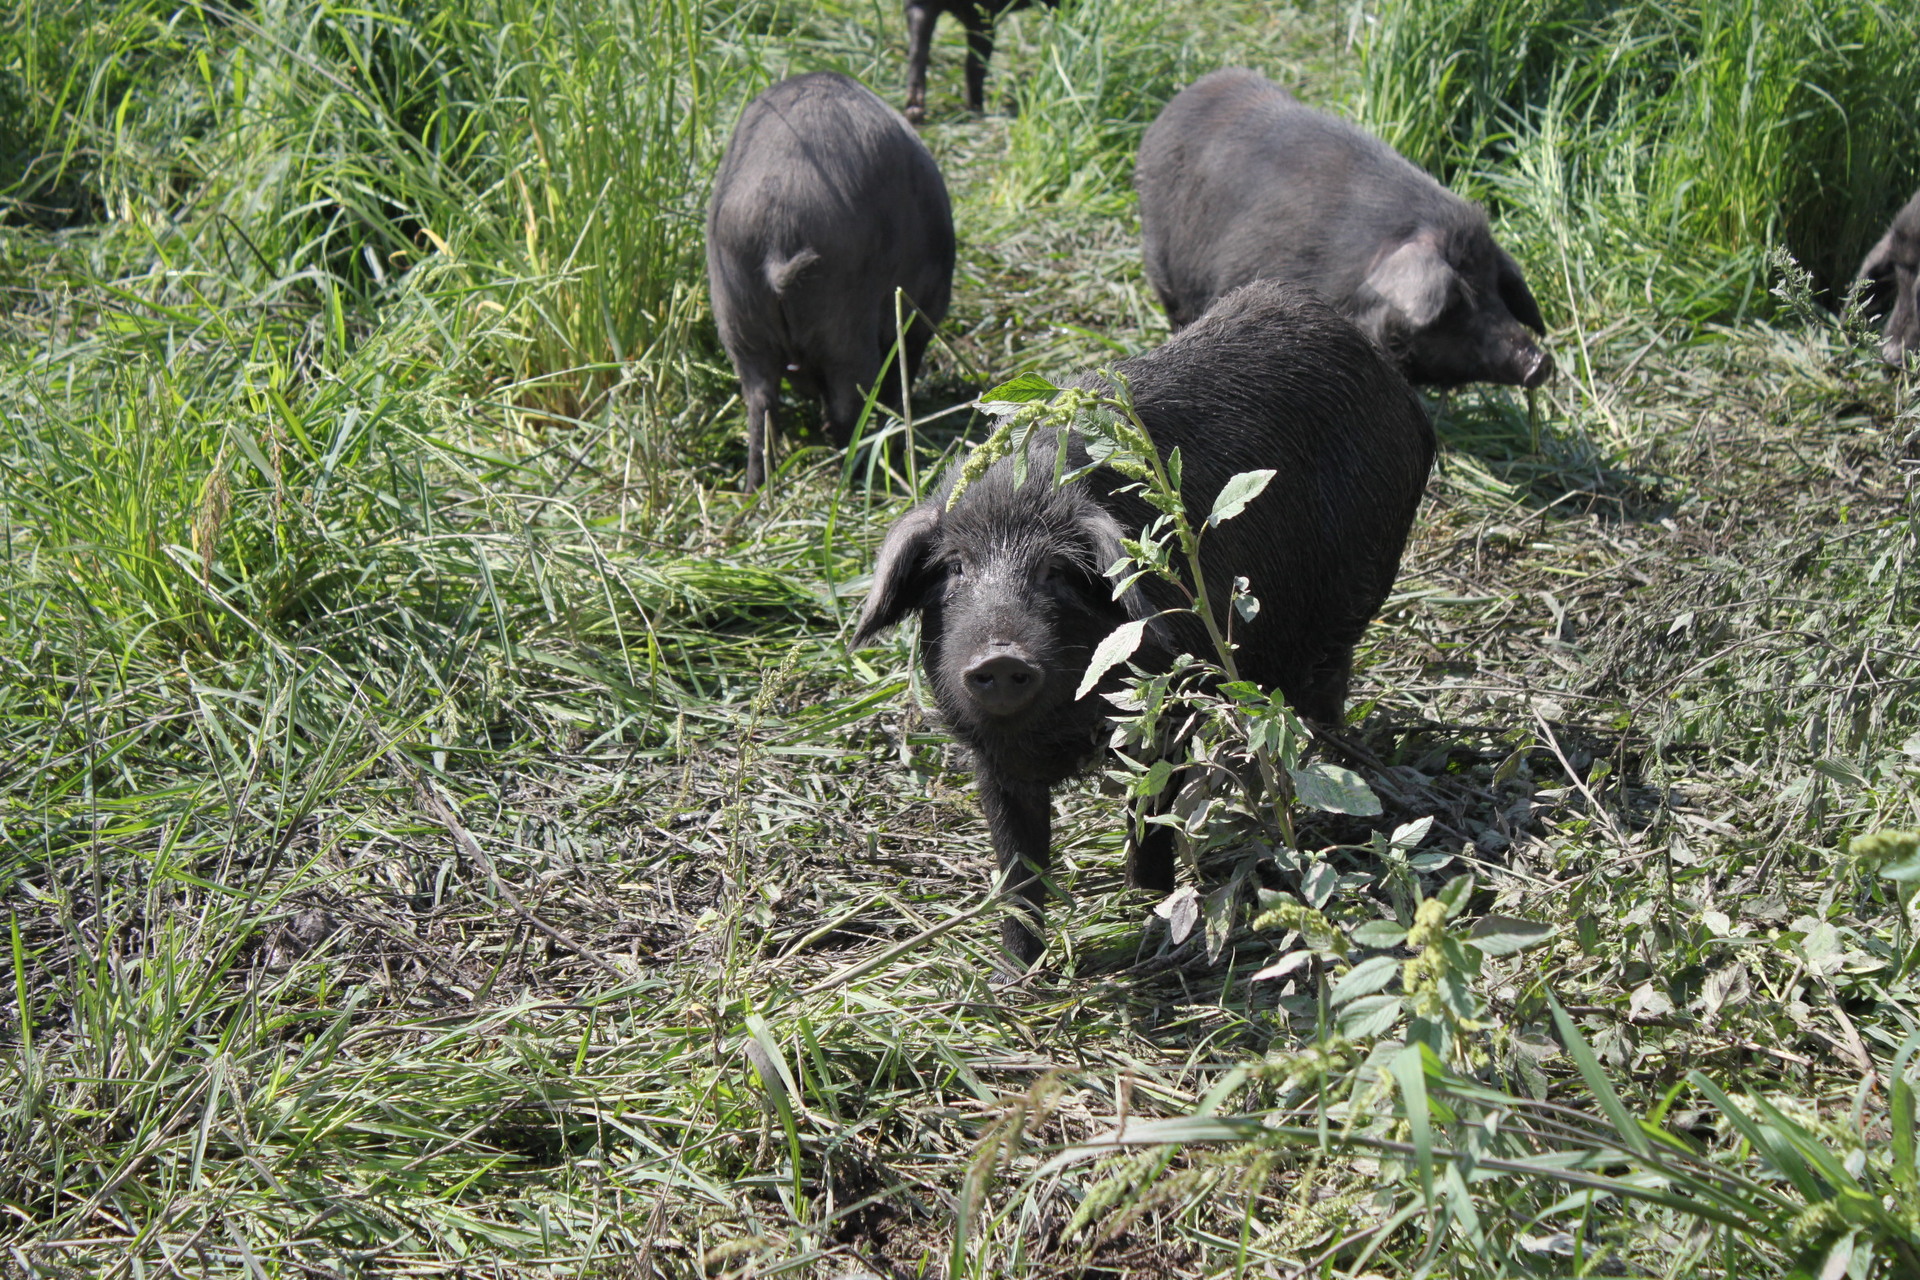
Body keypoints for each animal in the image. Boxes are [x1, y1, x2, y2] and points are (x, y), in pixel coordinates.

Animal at [706, 72, 952, 491]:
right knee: (847, 402)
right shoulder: (919, 317)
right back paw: (853, 474)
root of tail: (778, 235)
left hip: (737, 318)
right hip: (845, 323)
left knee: (760, 407)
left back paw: (756, 488)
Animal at [852, 278, 1428, 959]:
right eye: (954, 568)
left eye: (1055, 571)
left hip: (1358, 590)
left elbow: (1153, 808)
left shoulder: (1170, 701)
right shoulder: (991, 754)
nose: (1000, 653)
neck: (1059, 733)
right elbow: (1017, 863)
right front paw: (1016, 969)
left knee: (1326, 686)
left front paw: (1144, 902)